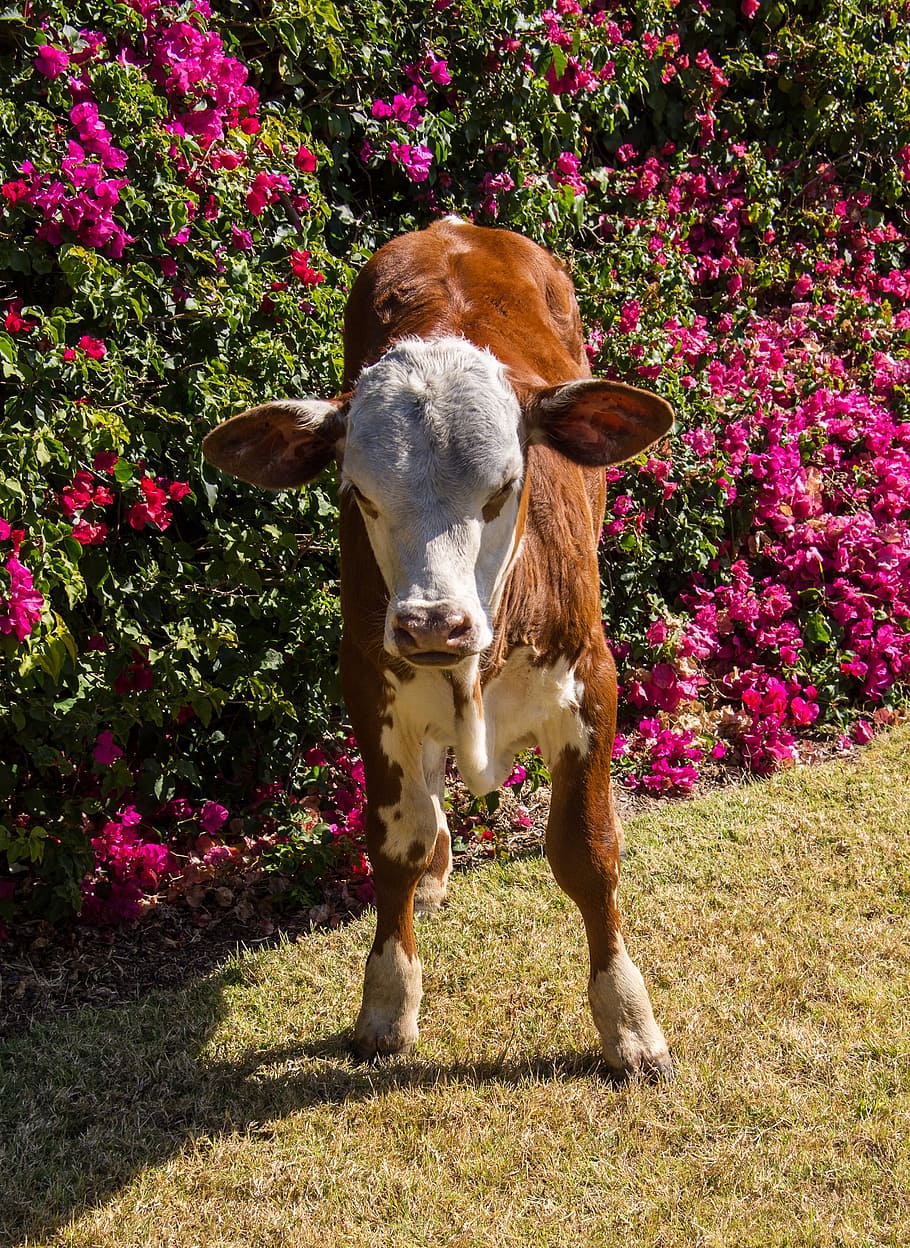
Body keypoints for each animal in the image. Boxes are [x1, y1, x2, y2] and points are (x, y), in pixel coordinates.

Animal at [203, 218, 675, 1079]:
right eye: (357, 493)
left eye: (505, 487)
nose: (431, 623)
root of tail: (455, 226)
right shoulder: (369, 681)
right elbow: (397, 840)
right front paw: (388, 1002)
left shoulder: (592, 682)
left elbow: (588, 853)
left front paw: (628, 1022)